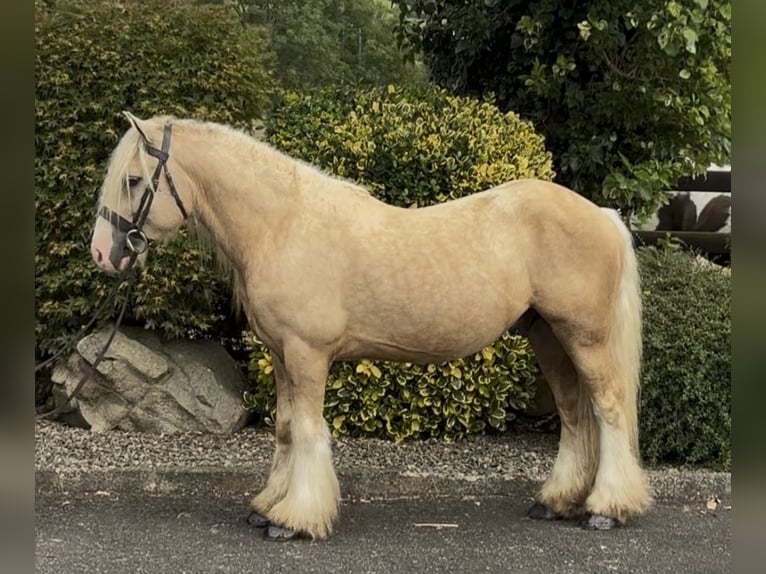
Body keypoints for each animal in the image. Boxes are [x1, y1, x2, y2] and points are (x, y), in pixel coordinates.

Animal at [90, 111, 651, 541]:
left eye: (133, 180)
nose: (101, 254)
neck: (282, 224)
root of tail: (603, 214)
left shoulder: (306, 353)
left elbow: (307, 429)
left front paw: (295, 519)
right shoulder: (281, 355)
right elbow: (285, 429)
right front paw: (268, 505)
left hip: (584, 337)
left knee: (608, 409)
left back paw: (606, 509)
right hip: (547, 335)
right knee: (574, 414)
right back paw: (556, 501)